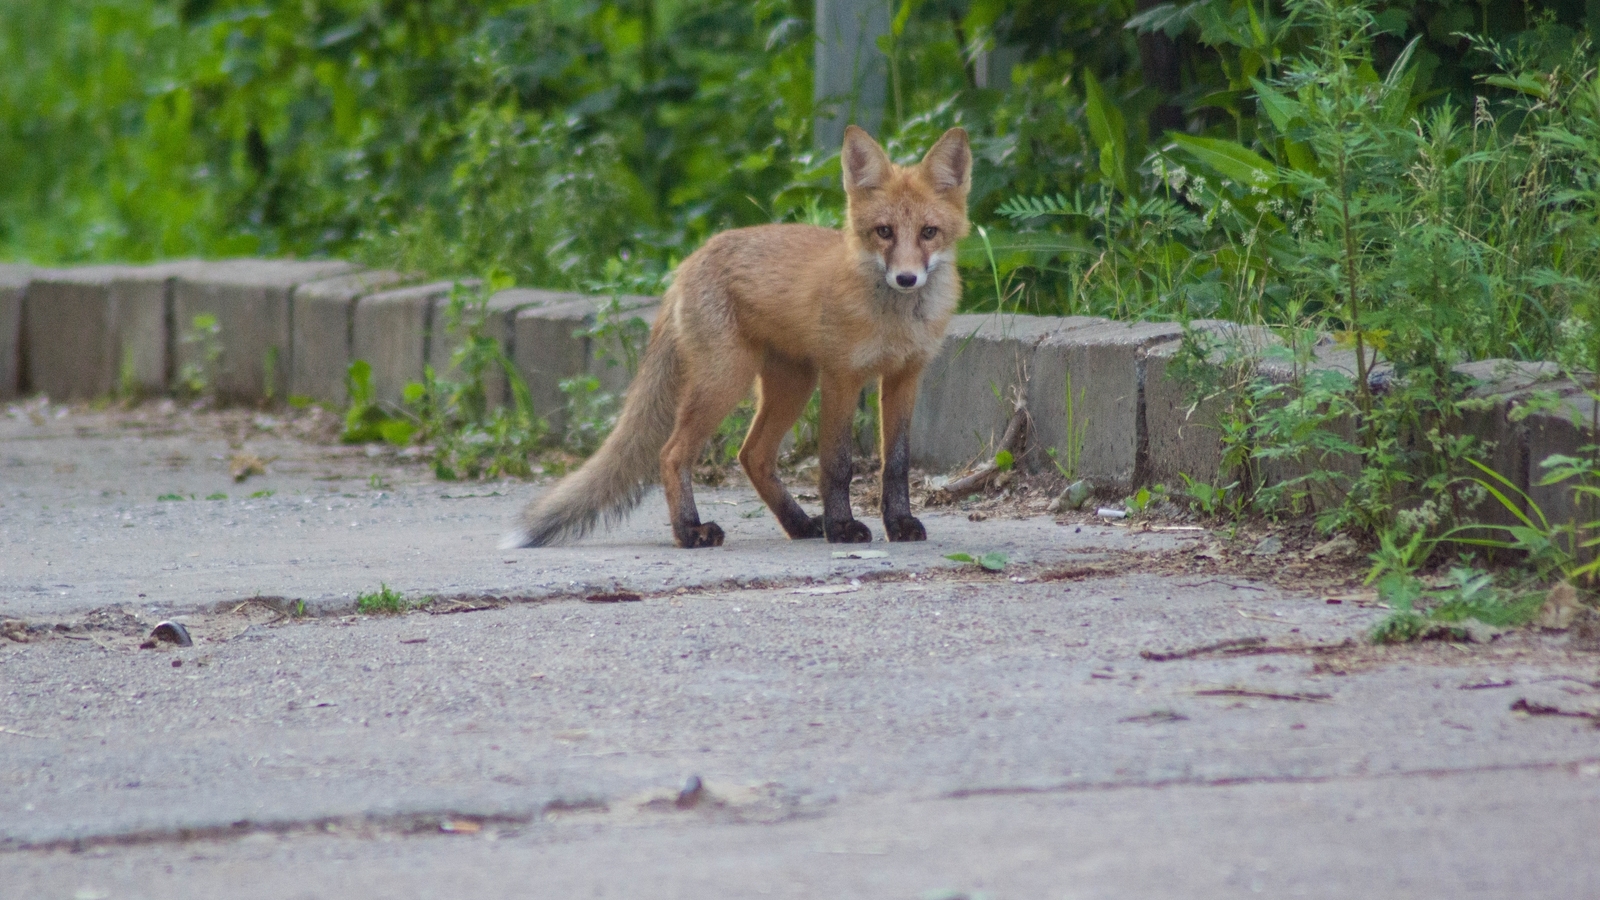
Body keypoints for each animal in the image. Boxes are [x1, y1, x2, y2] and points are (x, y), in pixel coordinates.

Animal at [505, 122, 966, 547]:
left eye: (928, 232)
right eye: (883, 232)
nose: (906, 278)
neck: (896, 321)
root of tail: (688, 262)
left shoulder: (905, 376)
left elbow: (897, 464)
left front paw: (899, 524)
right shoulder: (842, 377)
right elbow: (837, 465)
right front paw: (841, 528)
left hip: (793, 385)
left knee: (753, 456)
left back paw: (799, 525)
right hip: (728, 380)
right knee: (672, 454)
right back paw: (690, 531)